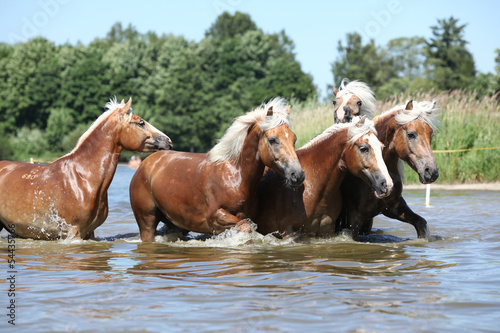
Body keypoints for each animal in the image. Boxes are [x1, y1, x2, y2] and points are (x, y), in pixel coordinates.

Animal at [129, 96, 304, 241]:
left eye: (294, 138)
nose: (298, 175)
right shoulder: (216, 217)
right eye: (273, 139)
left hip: (176, 223)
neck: (235, 175)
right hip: (147, 222)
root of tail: (145, 164)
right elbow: (246, 227)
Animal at [338, 98, 440, 239]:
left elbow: (421, 223)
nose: (431, 172)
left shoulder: (393, 207)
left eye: (431, 135)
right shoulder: (354, 218)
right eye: (411, 134)